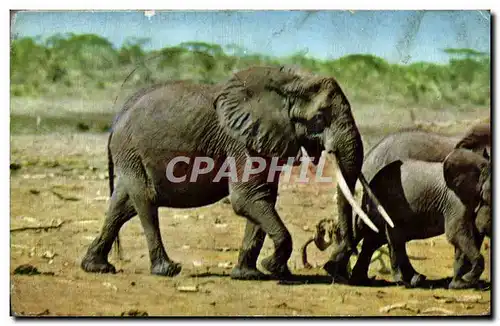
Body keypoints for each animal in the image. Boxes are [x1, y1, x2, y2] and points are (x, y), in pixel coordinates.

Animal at [81, 65, 394, 280]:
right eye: (319, 118)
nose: (333, 265)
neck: (290, 84)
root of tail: (117, 117)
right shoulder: (241, 140)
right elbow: (247, 198)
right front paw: (273, 268)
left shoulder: (267, 139)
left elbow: (263, 197)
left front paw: (250, 275)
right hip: (131, 149)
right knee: (145, 200)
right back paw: (167, 269)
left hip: (130, 155)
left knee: (123, 205)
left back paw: (96, 267)